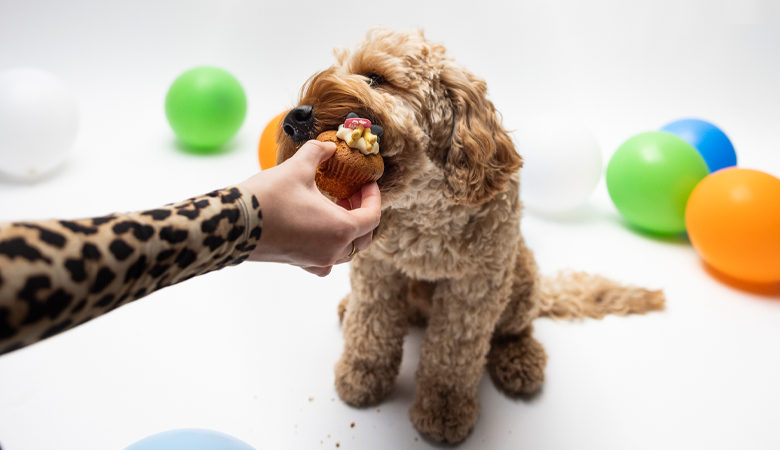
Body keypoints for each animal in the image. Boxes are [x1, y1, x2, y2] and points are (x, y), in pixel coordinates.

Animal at [274, 27, 664, 442]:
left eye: (375, 78)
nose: (294, 118)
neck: (423, 211)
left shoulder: (474, 287)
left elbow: (453, 355)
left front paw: (443, 409)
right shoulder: (376, 268)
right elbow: (371, 325)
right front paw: (362, 375)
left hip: (520, 277)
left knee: (515, 327)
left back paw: (519, 358)